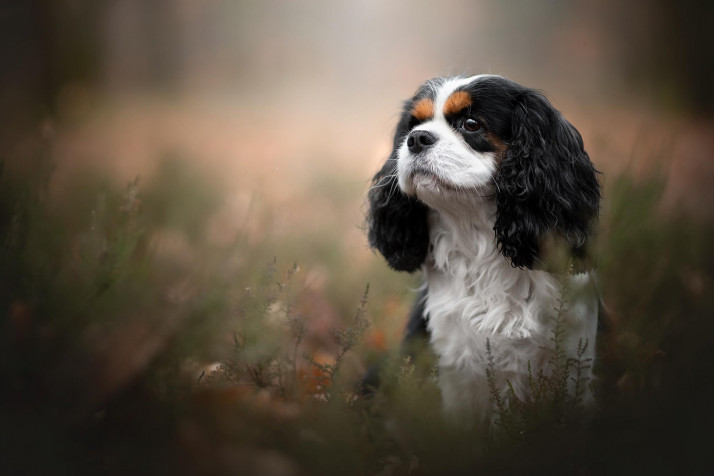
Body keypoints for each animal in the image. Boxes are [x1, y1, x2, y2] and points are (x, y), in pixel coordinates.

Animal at [364, 73, 596, 420]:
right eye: (413, 125)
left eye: (471, 124)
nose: (417, 138)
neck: (479, 243)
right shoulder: (455, 370)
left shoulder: (574, 359)